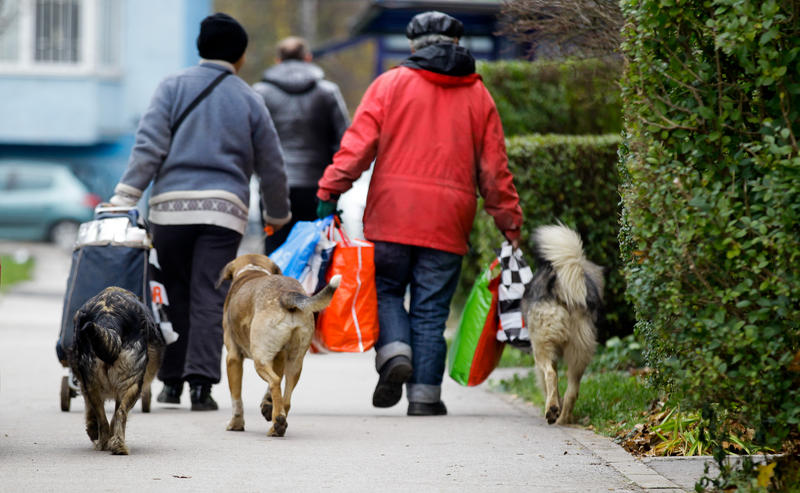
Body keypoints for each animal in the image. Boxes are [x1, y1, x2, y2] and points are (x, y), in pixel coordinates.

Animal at [68, 288, 165, 454]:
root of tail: (109, 319)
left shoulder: (86, 385)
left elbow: (94, 411)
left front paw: (94, 431)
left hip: (100, 385)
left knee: (105, 418)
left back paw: (106, 443)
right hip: (130, 384)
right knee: (119, 414)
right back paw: (117, 445)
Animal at [216, 254, 340, 434]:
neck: (252, 270)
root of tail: (285, 294)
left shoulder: (233, 357)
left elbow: (236, 397)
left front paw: (236, 423)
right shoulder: (279, 358)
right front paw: (268, 405)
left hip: (260, 358)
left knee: (274, 381)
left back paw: (278, 422)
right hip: (295, 362)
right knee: (285, 395)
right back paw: (277, 424)